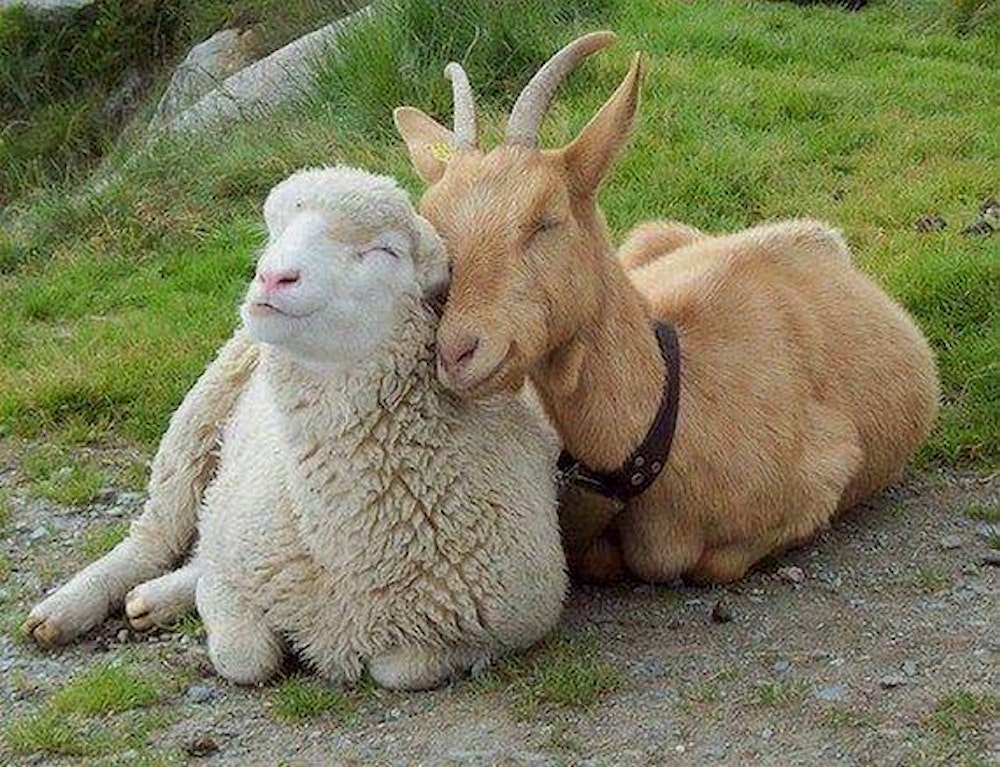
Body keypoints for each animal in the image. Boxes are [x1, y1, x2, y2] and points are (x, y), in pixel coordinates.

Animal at [26, 166, 566, 691]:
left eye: (385, 251)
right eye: (275, 232)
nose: (271, 277)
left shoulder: (515, 620)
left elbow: (400, 669)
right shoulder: (230, 566)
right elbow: (245, 655)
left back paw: (154, 600)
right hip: (198, 416)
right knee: (153, 535)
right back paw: (66, 608)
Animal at [393, 32, 940, 585]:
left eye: (546, 219)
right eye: (433, 222)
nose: (456, 352)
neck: (676, 411)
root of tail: (824, 237)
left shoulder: (829, 472)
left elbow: (712, 563)